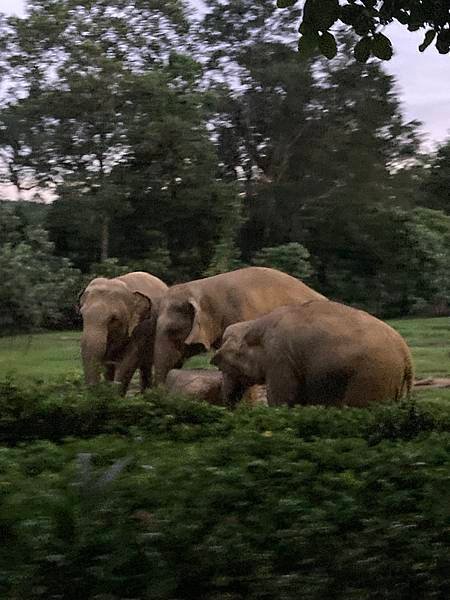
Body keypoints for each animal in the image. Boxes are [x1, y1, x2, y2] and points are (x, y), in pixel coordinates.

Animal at [211, 300, 414, 408]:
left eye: (224, 367)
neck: (255, 323)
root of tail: (406, 353)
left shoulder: (280, 359)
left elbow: (281, 400)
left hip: (372, 375)